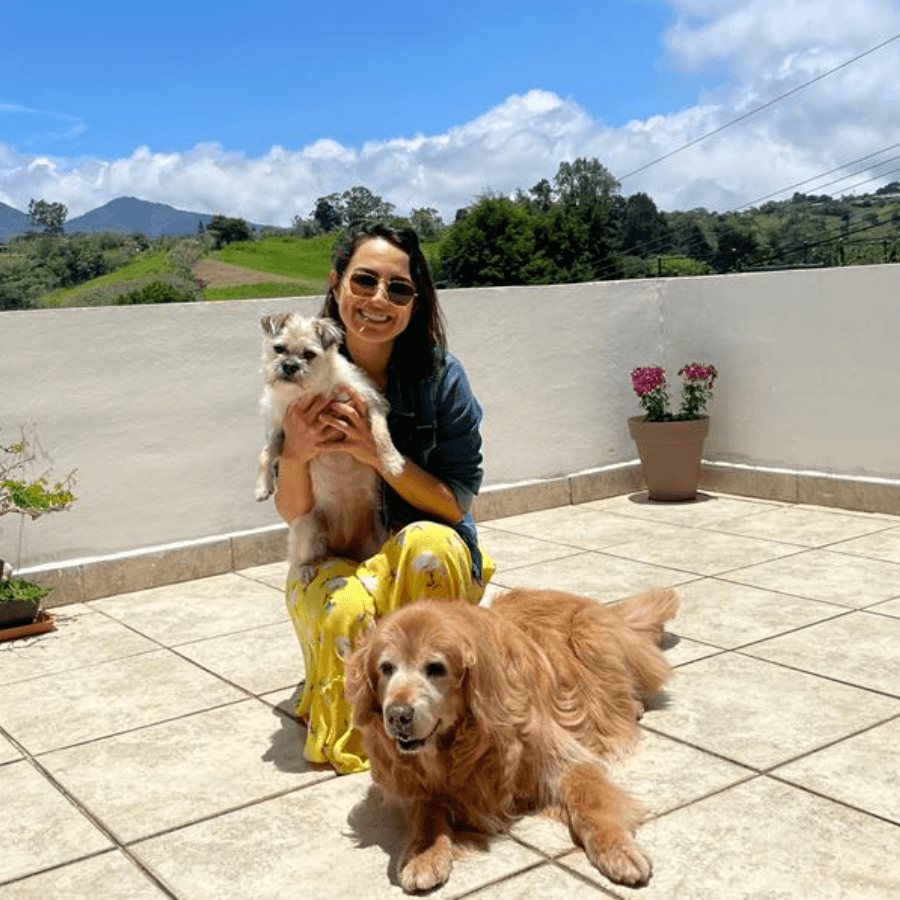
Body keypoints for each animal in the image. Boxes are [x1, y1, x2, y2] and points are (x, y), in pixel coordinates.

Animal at [255, 316, 406, 580]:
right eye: (279, 348)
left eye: (309, 354)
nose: (289, 366)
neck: (312, 388)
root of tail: (342, 543)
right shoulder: (282, 429)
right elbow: (267, 453)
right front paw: (263, 486)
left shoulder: (370, 403)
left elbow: (380, 433)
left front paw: (391, 460)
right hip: (308, 529)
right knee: (303, 559)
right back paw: (305, 570)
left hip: (375, 537)